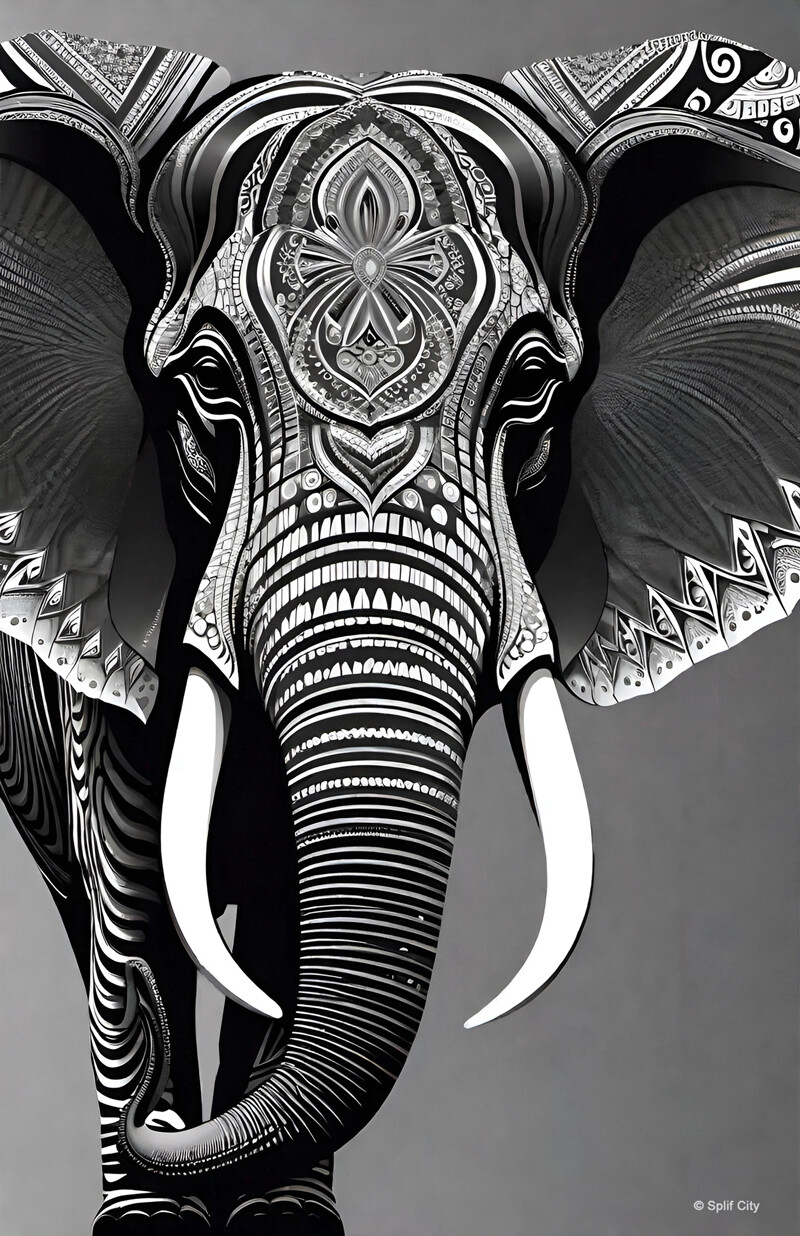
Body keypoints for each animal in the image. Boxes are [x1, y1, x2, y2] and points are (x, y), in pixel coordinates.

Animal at [1, 24, 800, 1233]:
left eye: (531, 386)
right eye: (205, 381)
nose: (162, 1125)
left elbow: (289, 900)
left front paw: (282, 1221)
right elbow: (133, 879)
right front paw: (149, 1212)